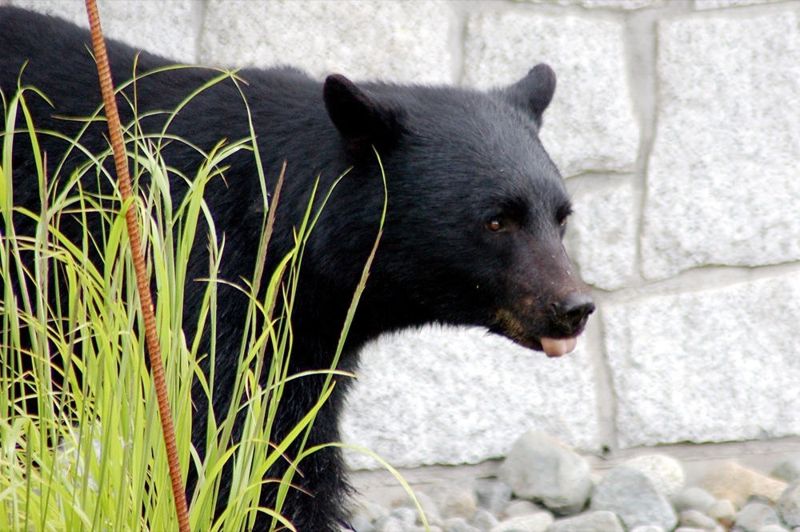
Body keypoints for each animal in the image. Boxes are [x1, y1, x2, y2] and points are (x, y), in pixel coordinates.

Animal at [0, 7, 594, 531]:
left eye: (561, 217)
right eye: (497, 220)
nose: (575, 307)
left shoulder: (306, 336)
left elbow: (292, 447)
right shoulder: (204, 276)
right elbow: (226, 437)